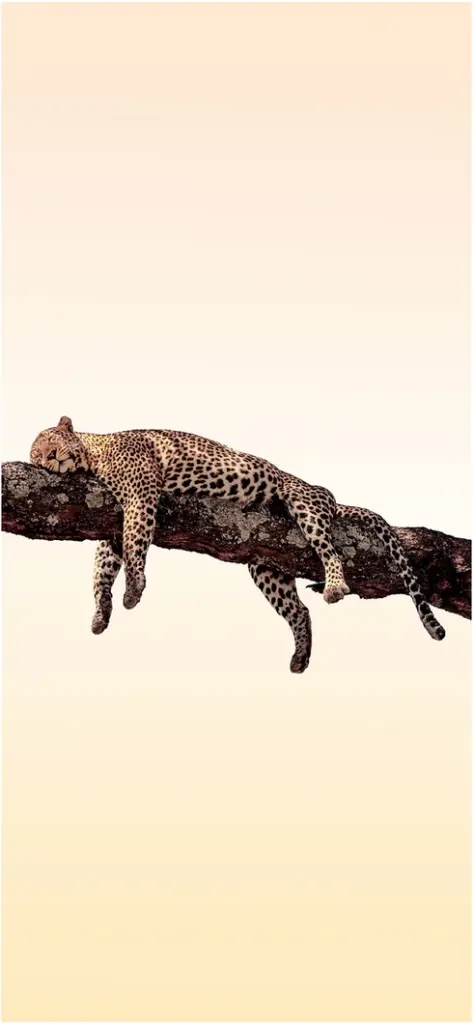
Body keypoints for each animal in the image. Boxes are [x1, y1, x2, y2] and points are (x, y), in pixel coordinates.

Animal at [30, 416, 446, 673]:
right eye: (35, 455)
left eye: (49, 443)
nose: (47, 459)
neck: (94, 453)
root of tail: (326, 495)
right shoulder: (112, 520)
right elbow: (104, 566)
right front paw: (101, 613)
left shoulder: (141, 495)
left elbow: (136, 543)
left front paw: (133, 589)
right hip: (267, 563)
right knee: (299, 610)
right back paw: (300, 656)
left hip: (304, 503)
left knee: (328, 548)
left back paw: (335, 586)